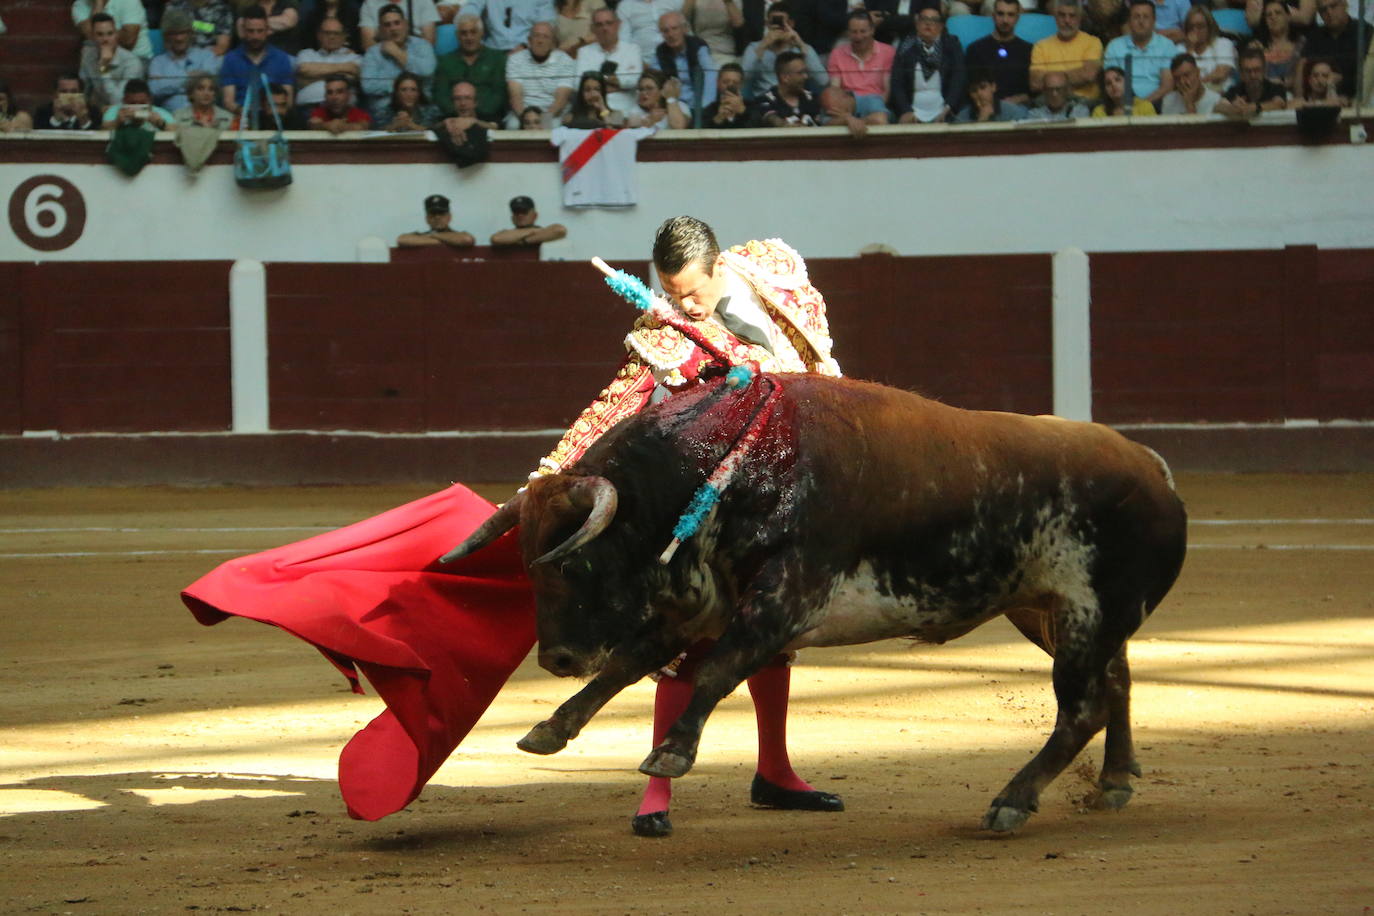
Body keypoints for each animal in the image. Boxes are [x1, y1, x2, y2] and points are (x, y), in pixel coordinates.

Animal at [445, 370, 1187, 829]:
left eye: (578, 560)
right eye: (528, 566)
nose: (556, 658)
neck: (733, 463)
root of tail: (1154, 469)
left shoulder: (786, 597)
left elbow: (716, 671)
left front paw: (672, 752)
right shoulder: (709, 604)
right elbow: (631, 664)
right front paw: (551, 728)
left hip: (1090, 613)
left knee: (1083, 707)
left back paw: (1012, 801)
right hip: (1050, 610)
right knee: (1117, 682)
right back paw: (1114, 782)